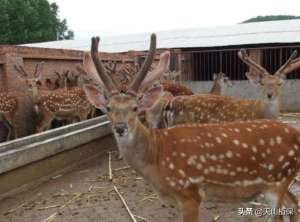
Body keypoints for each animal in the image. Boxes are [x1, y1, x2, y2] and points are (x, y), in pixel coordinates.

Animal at [82, 33, 300, 222]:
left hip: (277, 181)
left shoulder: (190, 193)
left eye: (135, 108)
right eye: (108, 108)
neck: (157, 158)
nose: (120, 128)